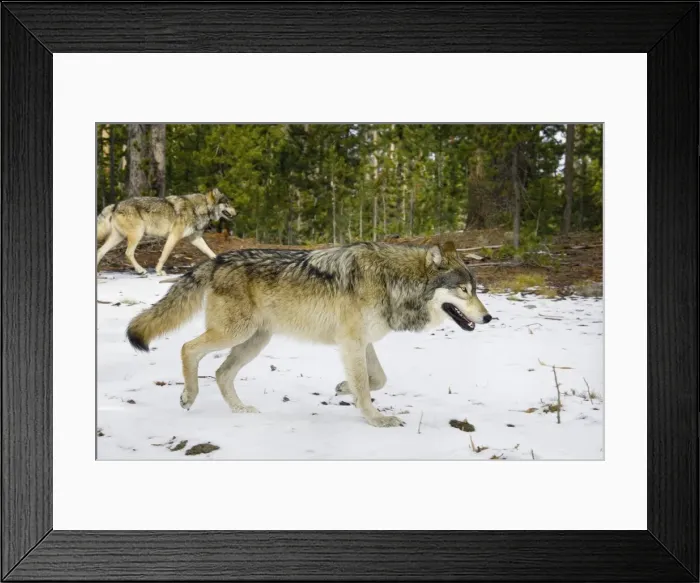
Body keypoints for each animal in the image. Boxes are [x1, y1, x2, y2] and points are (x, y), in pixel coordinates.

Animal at [96, 188, 237, 276]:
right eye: (227, 204)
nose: (236, 213)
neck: (202, 207)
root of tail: (115, 205)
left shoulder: (195, 239)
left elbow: (211, 252)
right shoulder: (174, 236)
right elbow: (164, 255)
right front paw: (159, 271)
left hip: (118, 238)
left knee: (100, 251)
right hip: (137, 235)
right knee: (128, 253)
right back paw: (141, 270)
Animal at [125, 241, 492, 427]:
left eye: (475, 290)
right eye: (463, 290)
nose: (489, 317)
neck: (393, 280)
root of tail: (216, 260)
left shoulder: (360, 342)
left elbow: (376, 379)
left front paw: (344, 389)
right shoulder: (351, 342)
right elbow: (366, 385)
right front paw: (376, 419)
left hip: (254, 341)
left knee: (220, 372)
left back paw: (241, 411)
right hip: (234, 333)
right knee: (188, 348)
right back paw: (189, 396)